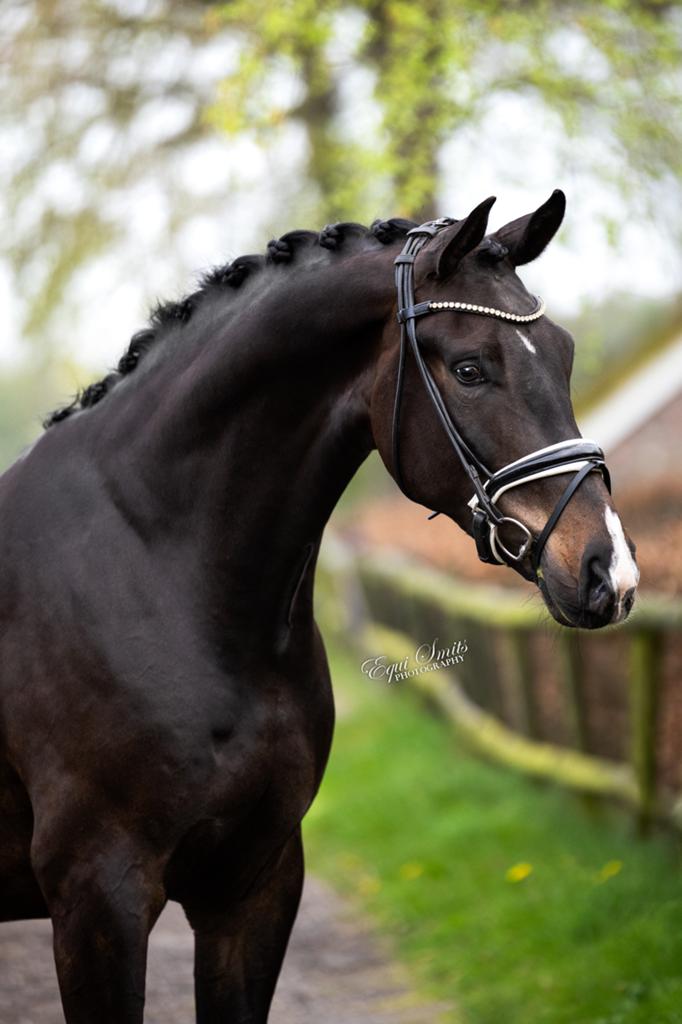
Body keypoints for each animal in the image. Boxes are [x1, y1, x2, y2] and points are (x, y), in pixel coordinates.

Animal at [0, 191, 639, 1023]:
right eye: (470, 368)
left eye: (563, 355)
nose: (609, 573)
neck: (157, 566)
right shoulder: (97, 896)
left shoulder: (256, 884)